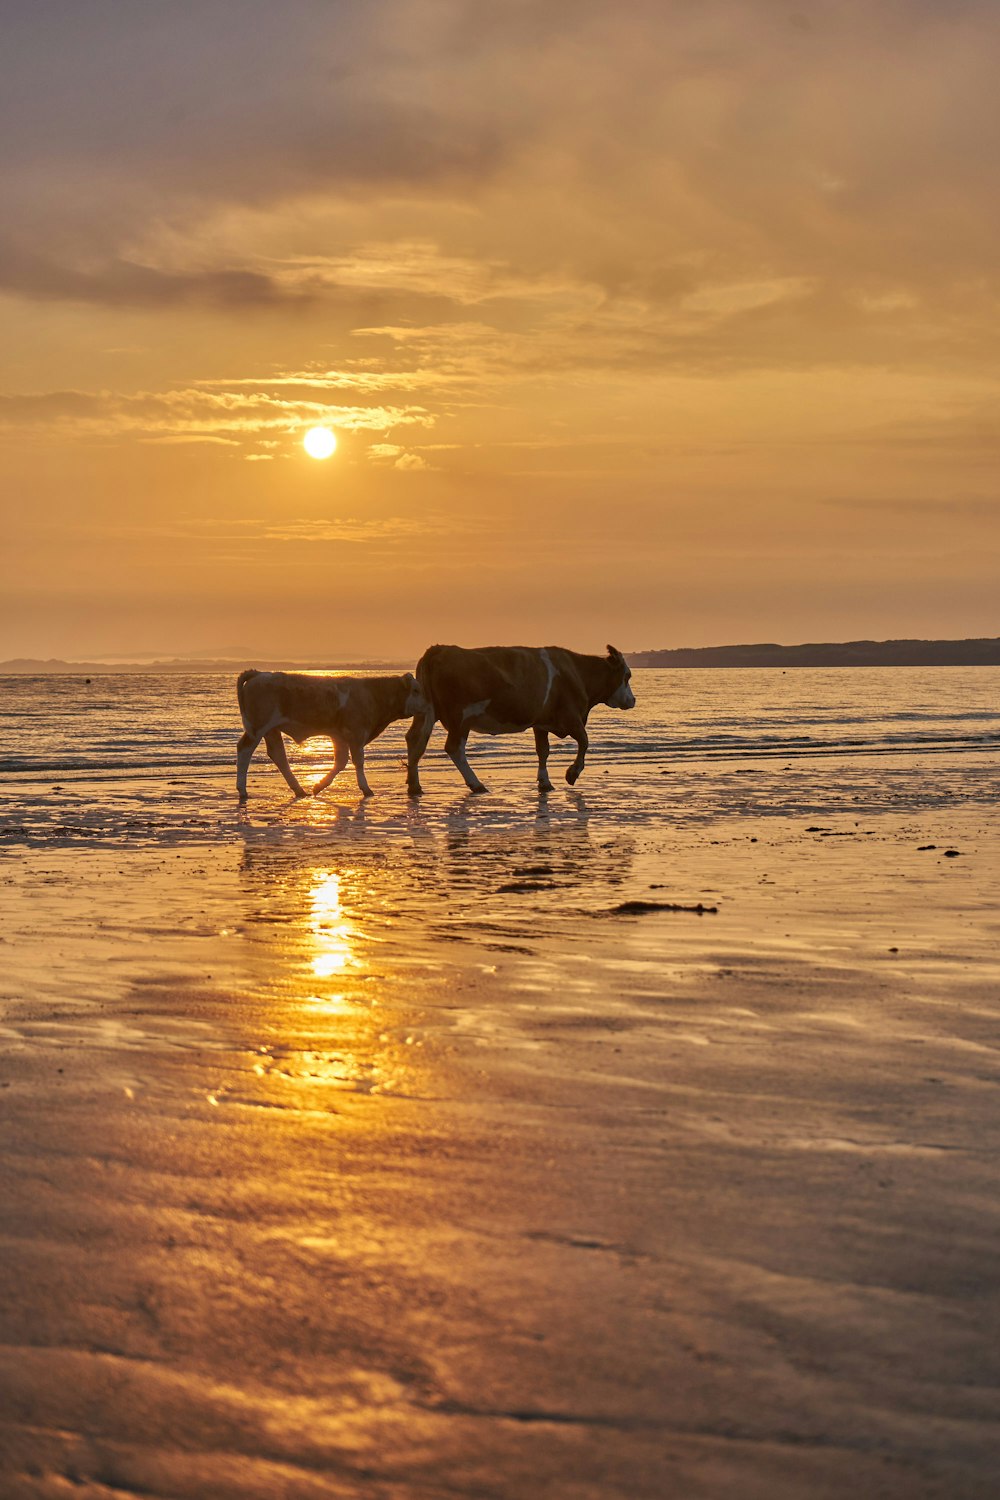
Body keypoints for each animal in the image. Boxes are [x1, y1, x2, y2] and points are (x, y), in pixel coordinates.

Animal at [236, 672, 428, 804]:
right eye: (416, 690)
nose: (427, 704)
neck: (372, 694)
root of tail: (259, 673)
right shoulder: (356, 733)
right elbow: (358, 761)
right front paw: (366, 789)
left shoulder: (339, 736)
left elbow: (340, 762)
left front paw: (319, 786)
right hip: (258, 727)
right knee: (245, 749)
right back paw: (242, 790)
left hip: (272, 731)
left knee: (278, 755)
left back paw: (299, 790)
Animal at [404, 645, 632, 798]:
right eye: (627, 676)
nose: (633, 700)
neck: (578, 673)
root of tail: (440, 649)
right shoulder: (571, 716)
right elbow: (584, 741)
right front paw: (572, 774)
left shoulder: (541, 723)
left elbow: (543, 750)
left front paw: (544, 782)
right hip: (460, 717)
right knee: (453, 748)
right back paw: (477, 785)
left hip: (426, 711)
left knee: (415, 740)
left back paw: (414, 786)